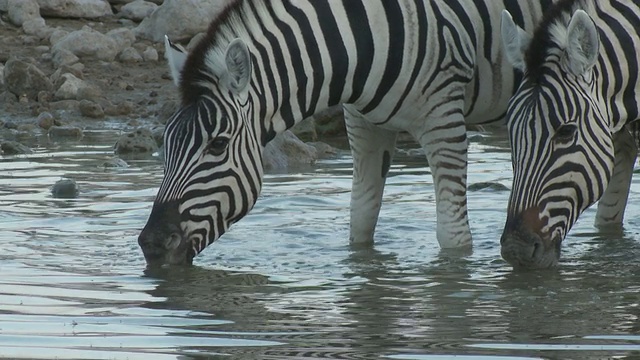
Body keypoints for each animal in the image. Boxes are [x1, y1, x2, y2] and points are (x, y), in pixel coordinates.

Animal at [136, 0, 556, 264]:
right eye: (166, 145)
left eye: (218, 145)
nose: (152, 244)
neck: (364, 39)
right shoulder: (364, 124)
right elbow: (360, 222)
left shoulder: (444, 120)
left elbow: (453, 238)